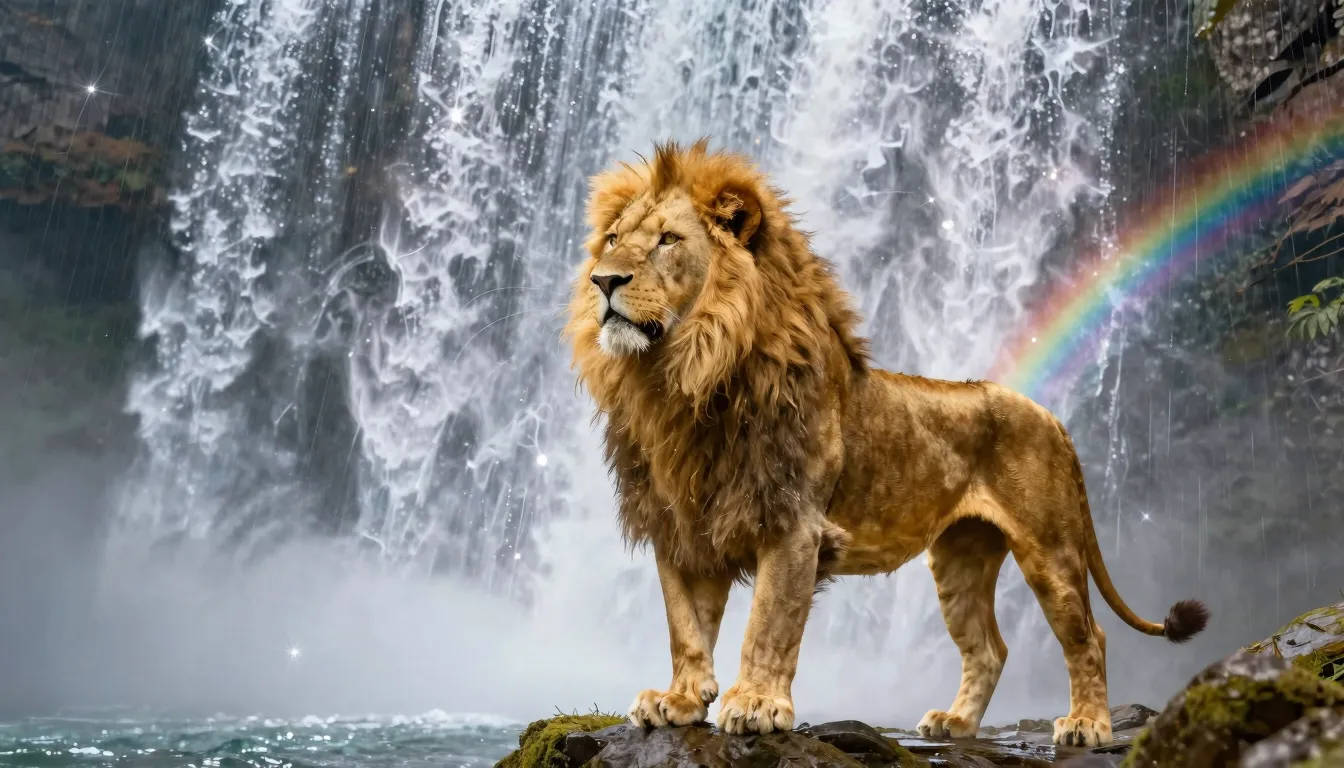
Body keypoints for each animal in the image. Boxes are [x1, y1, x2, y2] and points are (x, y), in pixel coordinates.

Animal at [563, 139, 1208, 748]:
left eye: (668, 240)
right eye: (613, 239)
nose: (603, 281)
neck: (683, 377)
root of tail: (1052, 416)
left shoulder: (793, 524)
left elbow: (769, 624)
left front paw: (757, 706)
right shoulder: (679, 525)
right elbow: (685, 626)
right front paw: (678, 701)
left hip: (1049, 547)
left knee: (1088, 636)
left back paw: (1087, 725)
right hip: (960, 558)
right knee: (989, 647)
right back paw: (955, 721)